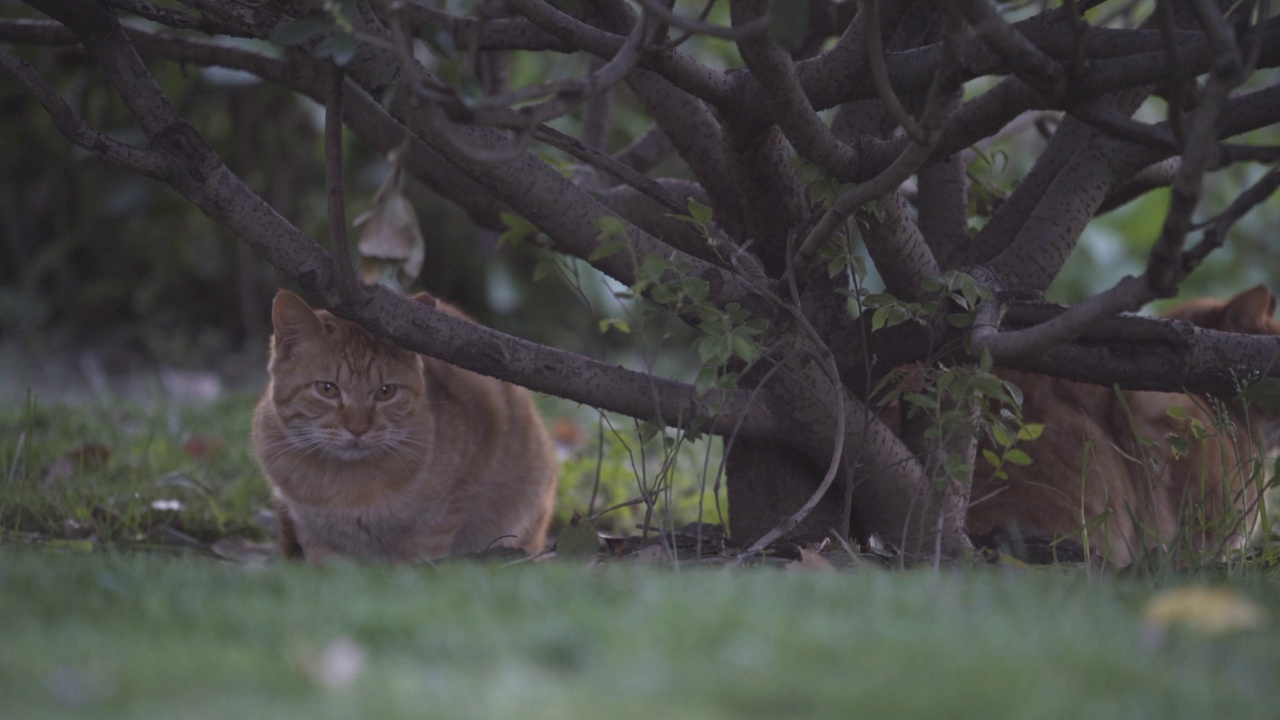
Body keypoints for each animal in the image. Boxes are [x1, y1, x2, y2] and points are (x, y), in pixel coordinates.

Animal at [252, 288, 558, 558]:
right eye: (327, 389)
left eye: (386, 392)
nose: (358, 428)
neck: (347, 489)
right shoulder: (315, 537)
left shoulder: (442, 516)